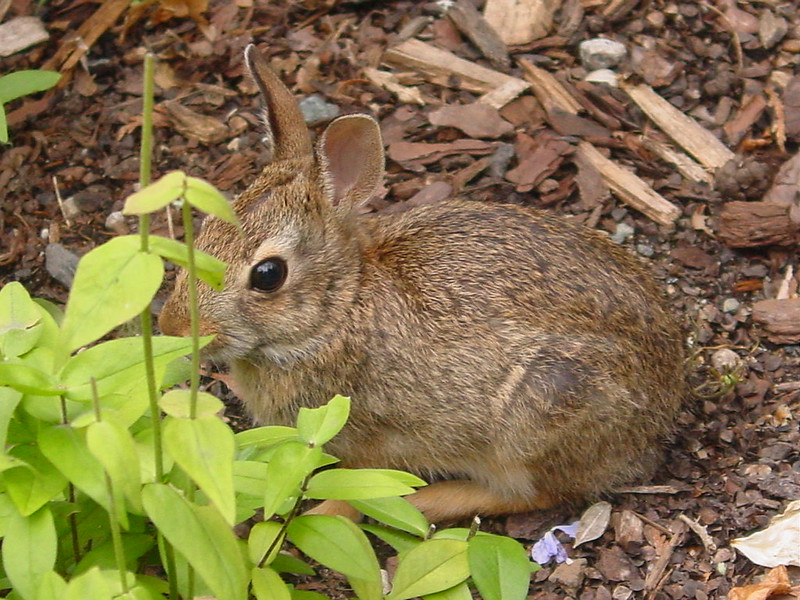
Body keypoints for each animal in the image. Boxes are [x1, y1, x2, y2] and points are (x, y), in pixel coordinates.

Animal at [158, 44, 688, 524]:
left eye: (268, 275)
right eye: (205, 229)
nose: (172, 326)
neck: (340, 308)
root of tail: (659, 415)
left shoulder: (370, 440)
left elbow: (355, 492)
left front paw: (322, 514)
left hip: (540, 413)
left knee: (536, 495)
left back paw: (429, 501)